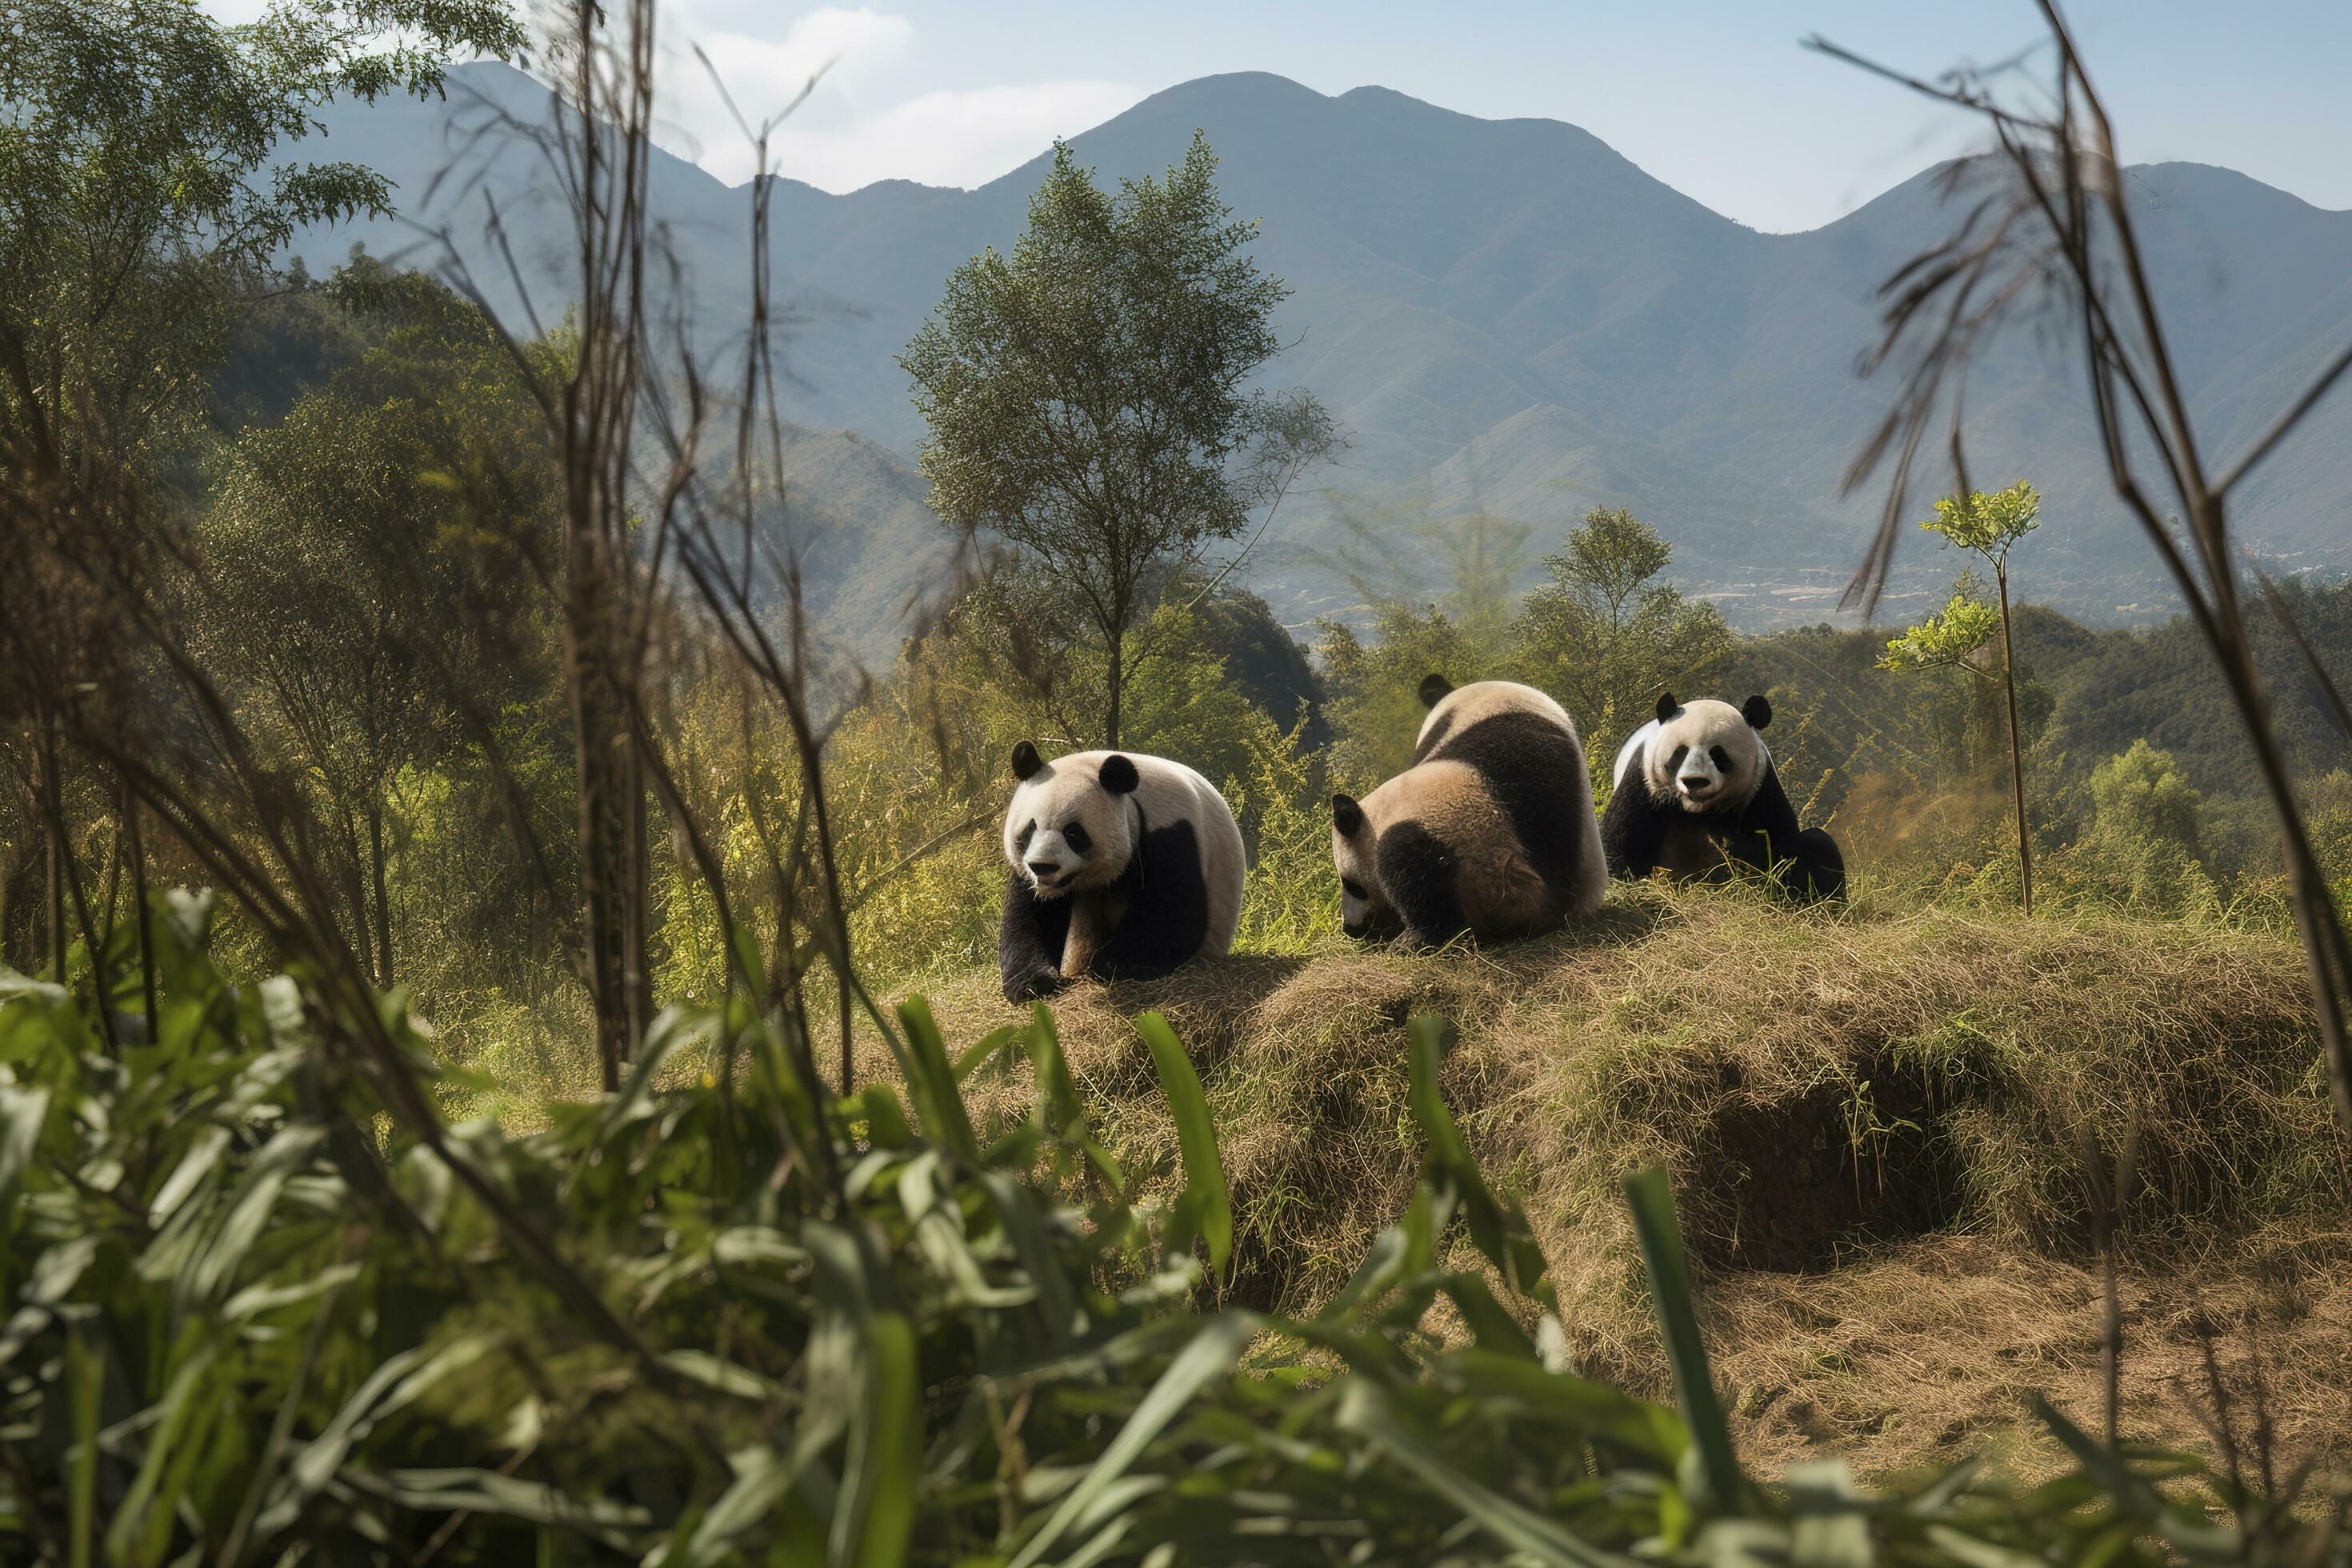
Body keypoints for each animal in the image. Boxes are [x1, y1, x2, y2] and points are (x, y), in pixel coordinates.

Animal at [992, 738, 1251, 1006]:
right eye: (1030, 828)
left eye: (1073, 833)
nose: (1043, 866)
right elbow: (1031, 916)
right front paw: (1033, 983)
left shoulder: (1172, 833)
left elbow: (1171, 917)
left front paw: (1112, 964)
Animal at [1608, 690, 1843, 902]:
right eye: (1680, 752)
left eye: (1718, 754)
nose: (1694, 781)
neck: (1697, 811)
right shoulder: (1645, 784)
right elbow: (1623, 843)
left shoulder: (1759, 792)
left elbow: (1778, 852)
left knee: (1820, 845)